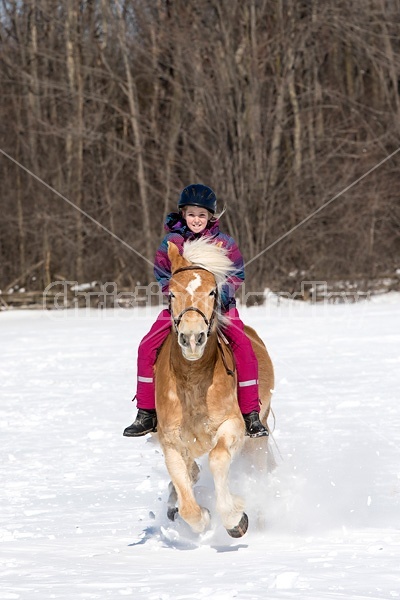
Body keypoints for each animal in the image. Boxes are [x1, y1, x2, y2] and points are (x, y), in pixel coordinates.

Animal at [155, 237, 274, 536]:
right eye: (172, 294)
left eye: (212, 292)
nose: (192, 338)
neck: (193, 381)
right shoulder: (171, 442)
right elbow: (188, 505)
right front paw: (202, 514)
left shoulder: (233, 425)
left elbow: (218, 457)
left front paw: (235, 517)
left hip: (258, 438)